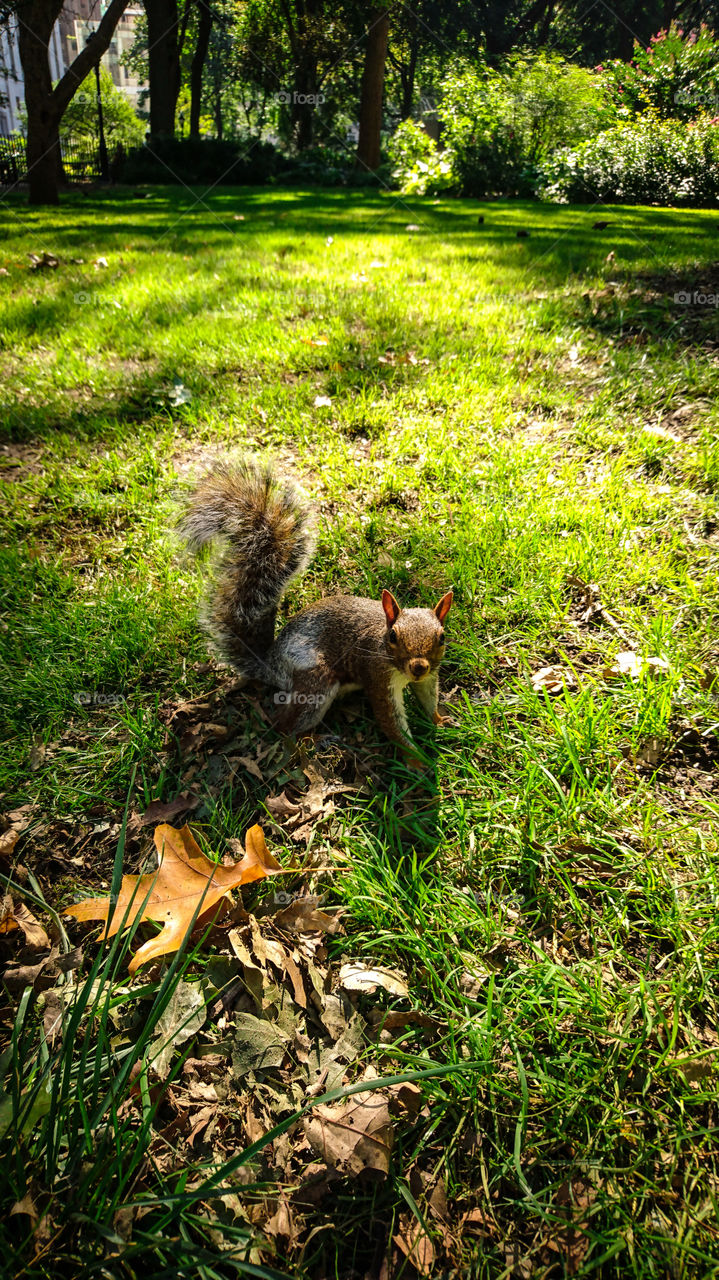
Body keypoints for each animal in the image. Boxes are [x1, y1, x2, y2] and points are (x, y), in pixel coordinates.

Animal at [180, 459, 453, 758]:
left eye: (442, 637)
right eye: (393, 637)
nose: (418, 666)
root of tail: (270, 663)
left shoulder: (429, 676)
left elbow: (428, 698)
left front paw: (440, 720)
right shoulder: (378, 678)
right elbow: (391, 724)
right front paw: (419, 762)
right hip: (316, 681)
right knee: (283, 726)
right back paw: (311, 740)